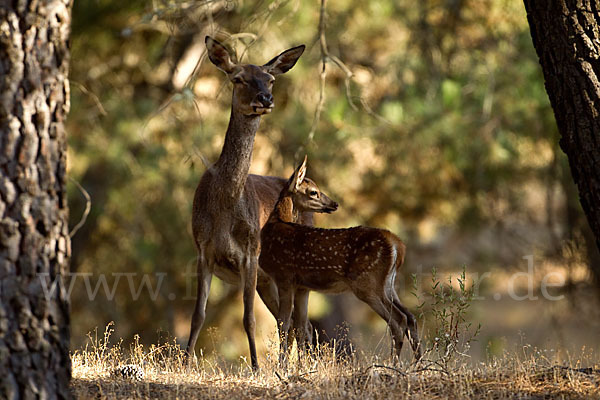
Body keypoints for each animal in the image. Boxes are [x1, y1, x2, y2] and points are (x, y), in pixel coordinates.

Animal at [186, 36, 310, 370]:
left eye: (271, 79)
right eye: (238, 78)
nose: (265, 98)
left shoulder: (251, 252)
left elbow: (249, 318)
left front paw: (255, 367)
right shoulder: (203, 250)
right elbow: (198, 315)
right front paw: (183, 362)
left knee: (299, 322)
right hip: (271, 280)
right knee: (288, 321)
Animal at [258, 156, 422, 366]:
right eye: (313, 191)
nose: (334, 204)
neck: (274, 225)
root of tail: (397, 245)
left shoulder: (284, 276)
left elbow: (284, 324)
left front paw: (284, 366)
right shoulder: (302, 286)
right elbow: (301, 326)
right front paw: (302, 366)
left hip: (366, 283)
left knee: (398, 320)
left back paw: (392, 363)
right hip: (388, 284)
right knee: (410, 317)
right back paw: (418, 363)